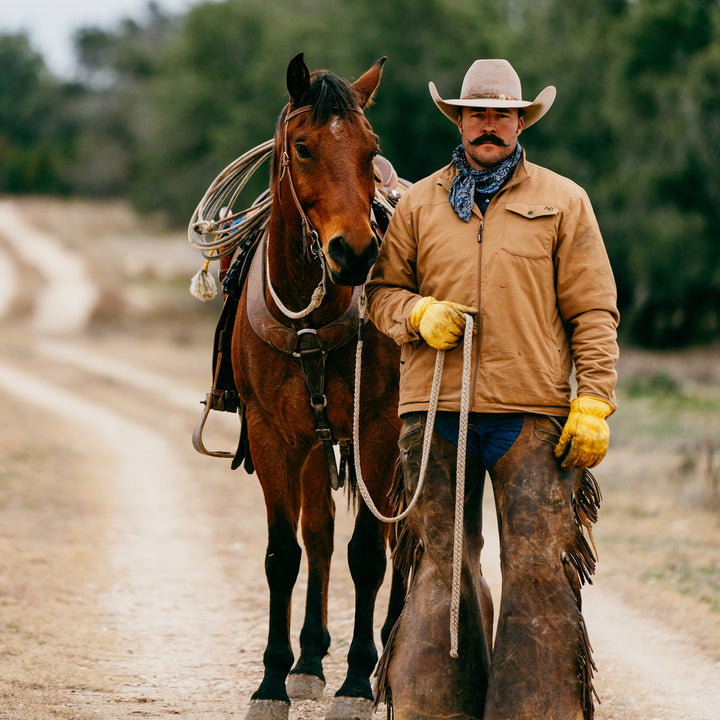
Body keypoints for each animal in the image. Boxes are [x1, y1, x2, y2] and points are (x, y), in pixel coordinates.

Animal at [229, 54, 404, 720]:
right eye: (302, 147)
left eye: (369, 148)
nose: (354, 253)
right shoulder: (275, 436)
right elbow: (286, 553)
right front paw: (274, 680)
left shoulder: (378, 431)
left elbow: (368, 554)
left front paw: (357, 682)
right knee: (321, 534)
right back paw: (308, 659)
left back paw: (391, 648)